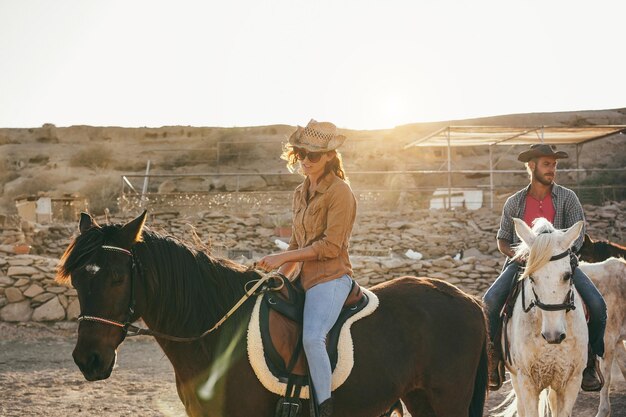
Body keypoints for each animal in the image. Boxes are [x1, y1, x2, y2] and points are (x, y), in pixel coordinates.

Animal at [57, 211, 488, 416]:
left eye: (117, 278)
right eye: (76, 279)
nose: (87, 360)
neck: (215, 334)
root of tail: (467, 300)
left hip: (448, 399)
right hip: (420, 398)